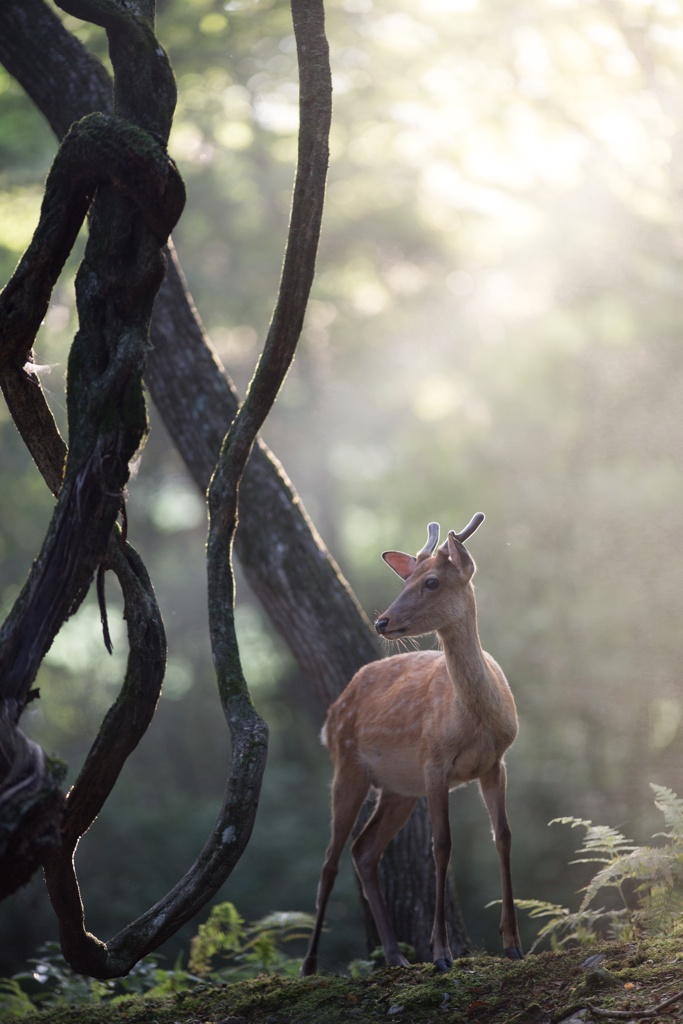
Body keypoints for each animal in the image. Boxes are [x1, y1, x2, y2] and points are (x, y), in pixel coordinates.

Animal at [301, 512, 524, 974]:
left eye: (432, 582)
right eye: (406, 581)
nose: (382, 622)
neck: (475, 719)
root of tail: (331, 715)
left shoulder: (495, 763)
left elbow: (504, 837)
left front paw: (513, 943)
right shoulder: (434, 761)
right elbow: (442, 845)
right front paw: (441, 953)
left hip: (398, 789)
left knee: (364, 850)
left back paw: (395, 955)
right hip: (347, 766)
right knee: (330, 860)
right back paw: (310, 964)